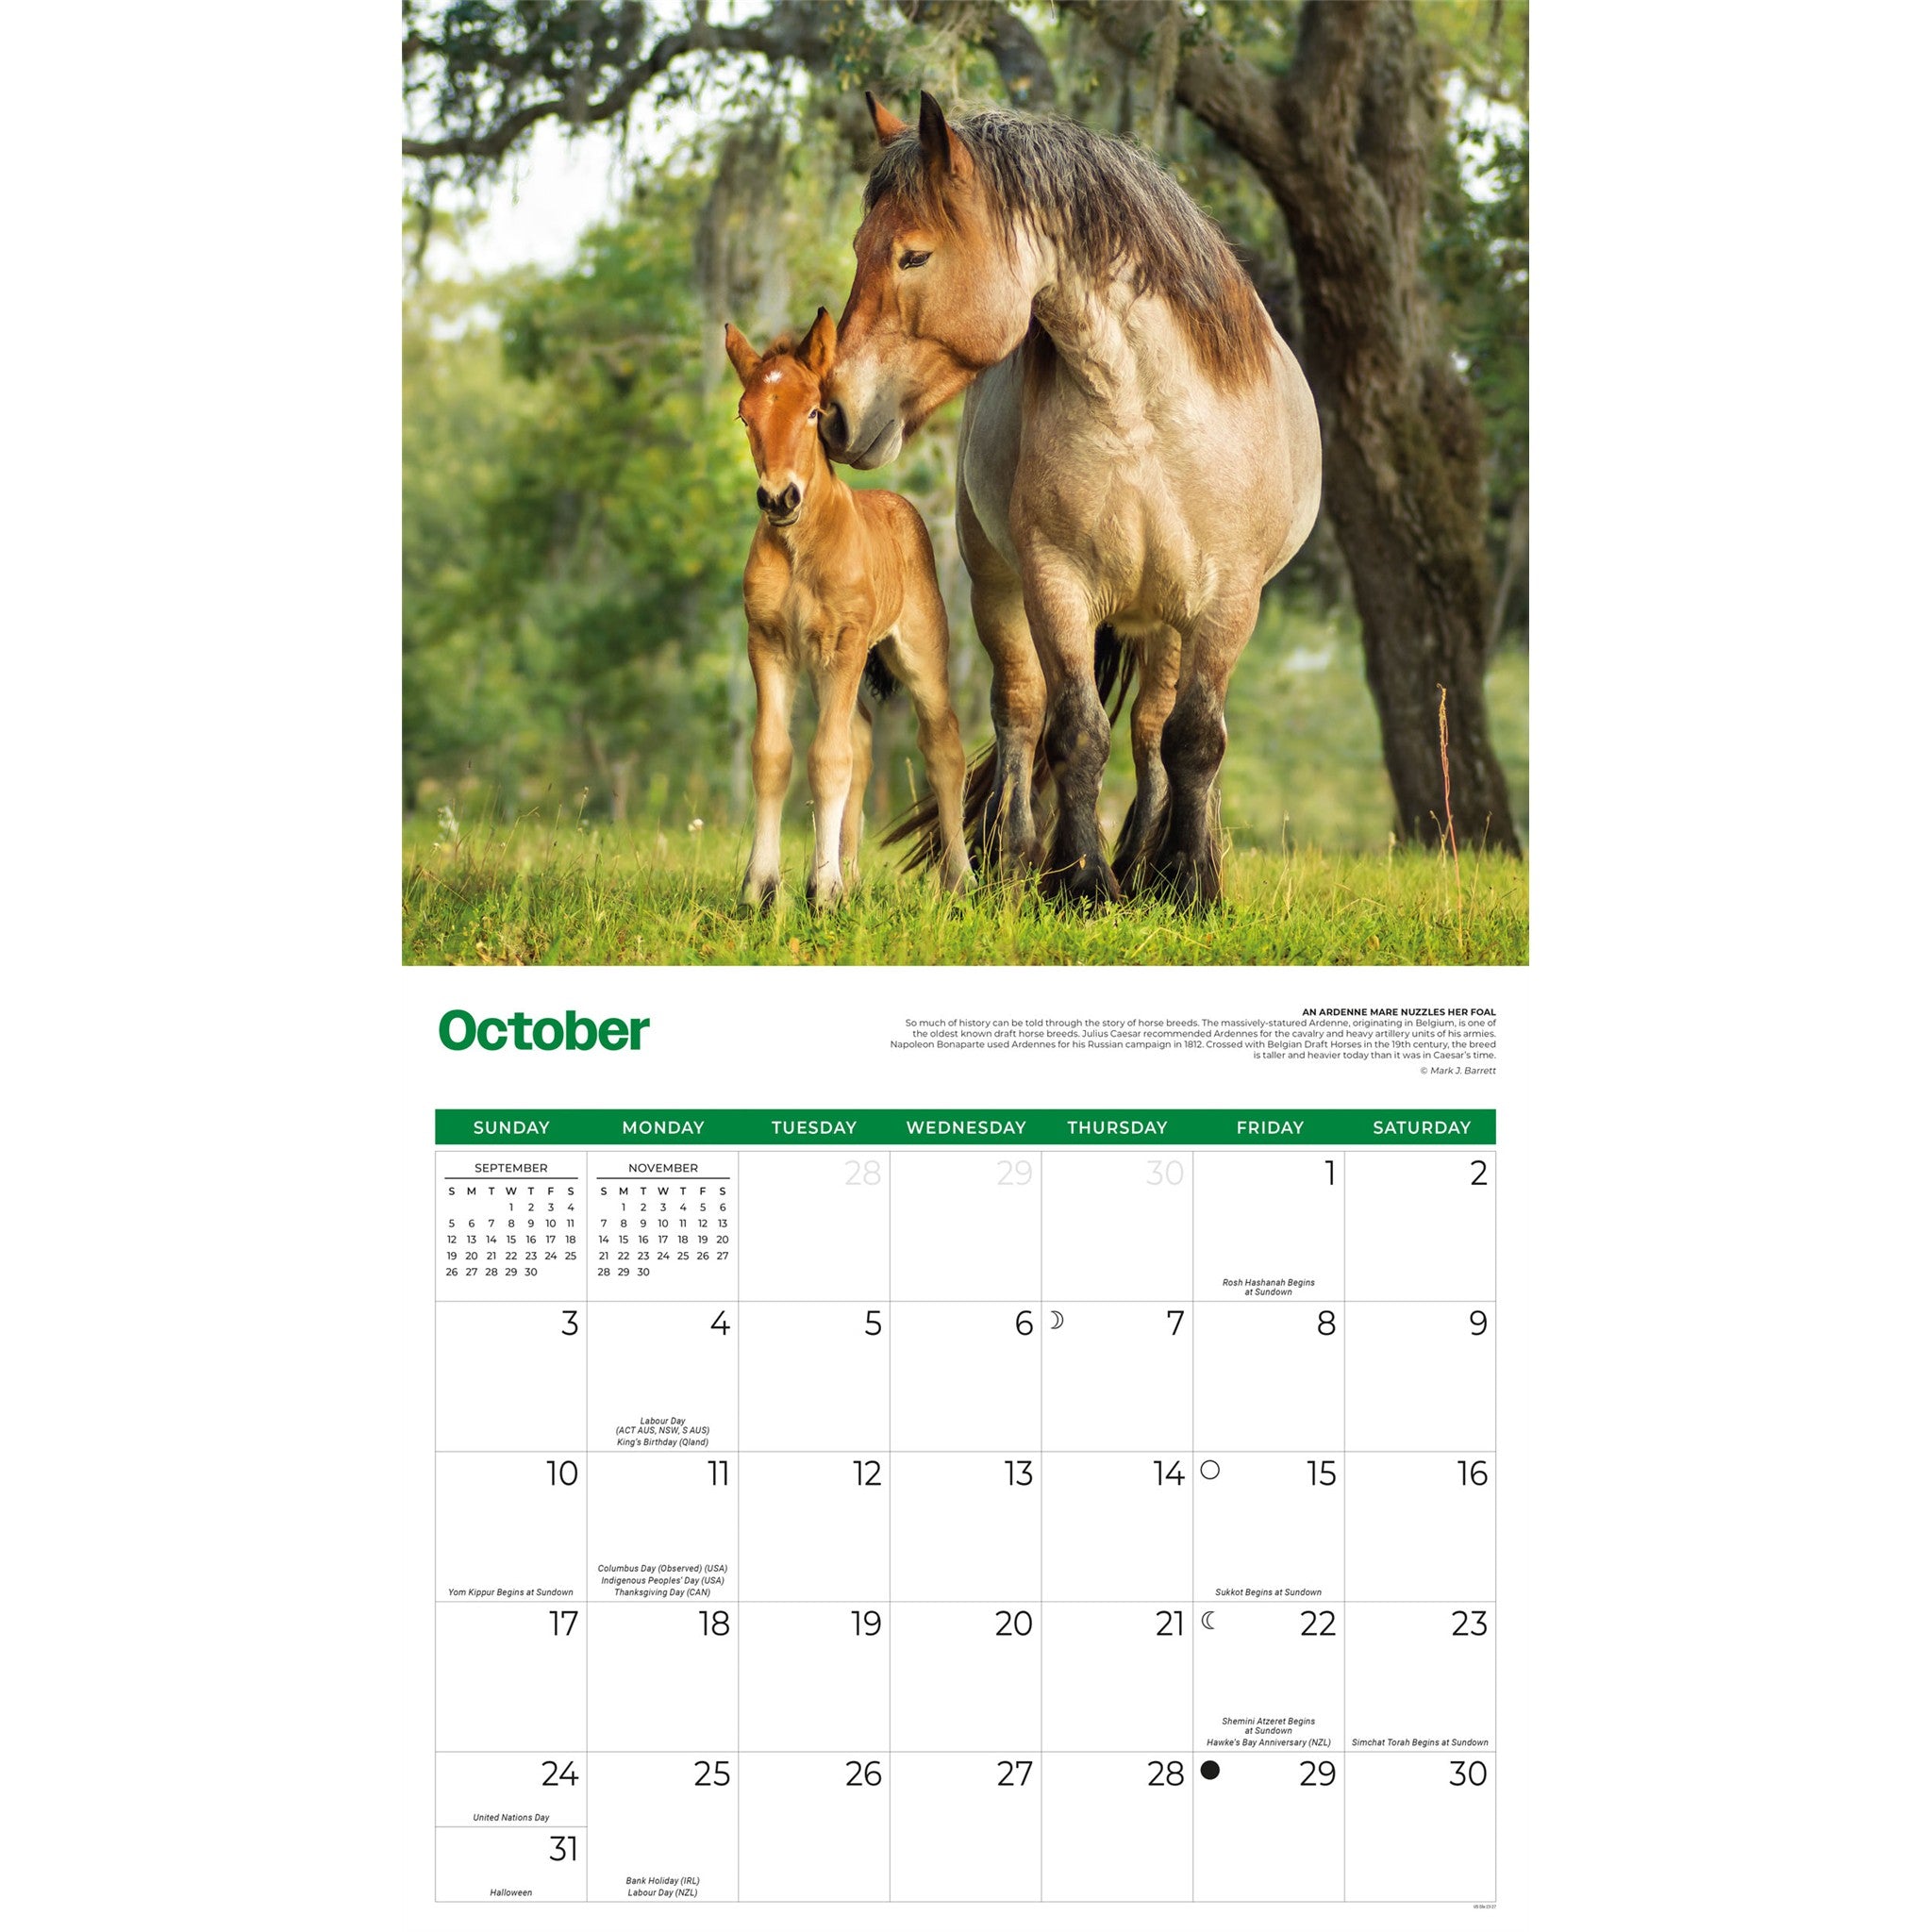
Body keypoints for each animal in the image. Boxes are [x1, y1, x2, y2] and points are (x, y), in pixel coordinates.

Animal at [725, 306, 972, 910]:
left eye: (813, 411)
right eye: (745, 416)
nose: (779, 497)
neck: (801, 550)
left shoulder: (846, 643)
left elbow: (826, 758)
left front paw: (824, 890)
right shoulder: (769, 643)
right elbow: (773, 755)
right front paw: (761, 888)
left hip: (916, 651)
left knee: (942, 745)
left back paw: (958, 880)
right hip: (826, 667)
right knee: (861, 741)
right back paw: (855, 874)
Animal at [823, 93, 1322, 908]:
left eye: (913, 255)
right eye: (862, 246)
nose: (833, 414)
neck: (1145, 415)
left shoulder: (1226, 602)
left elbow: (1195, 738)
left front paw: (1189, 884)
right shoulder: (1058, 584)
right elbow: (1076, 731)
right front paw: (1083, 880)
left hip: (1166, 621)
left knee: (1153, 728)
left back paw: (1147, 866)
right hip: (1000, 589)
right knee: (1022, 710)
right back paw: (1013, 860)